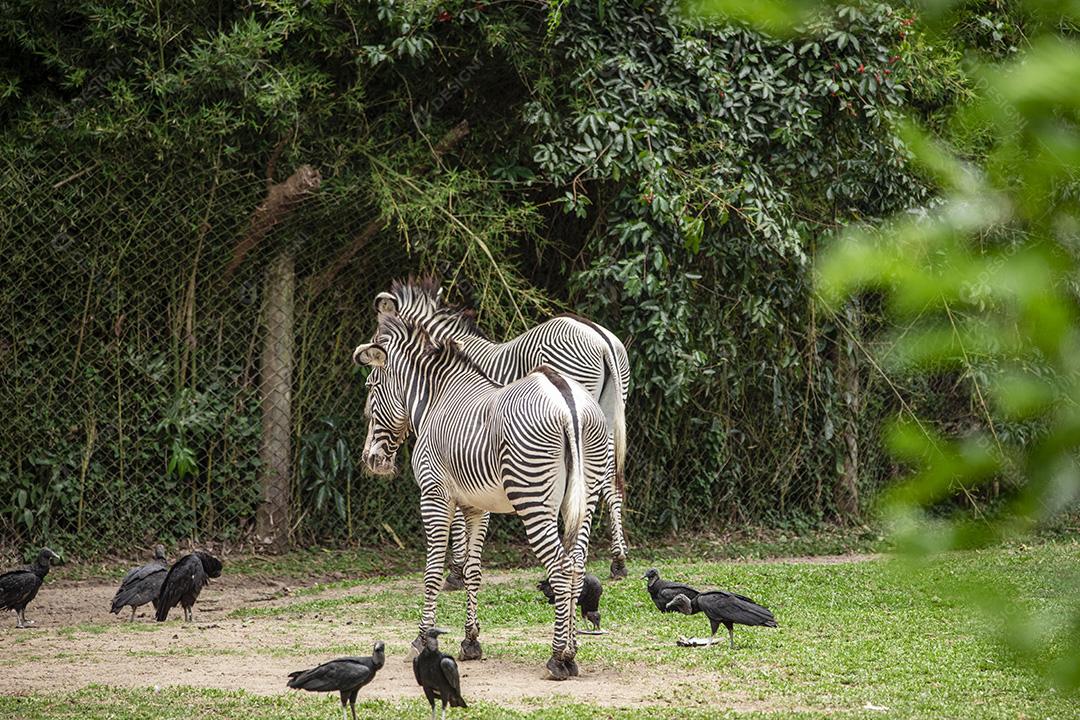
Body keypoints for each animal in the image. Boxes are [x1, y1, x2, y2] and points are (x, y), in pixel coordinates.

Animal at [353, 313, 610, 680]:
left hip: (533, 499)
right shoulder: (478, 508)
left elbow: (432, 571)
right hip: (584, 500)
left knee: (561, 569)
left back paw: (557, 658)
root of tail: (565, 397)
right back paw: (572, 653)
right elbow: (473, 571)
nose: (371, 460)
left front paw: (421, 640)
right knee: (577, 567)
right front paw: (470, 642)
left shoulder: (434, 496)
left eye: (371, 387)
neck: (437, 399)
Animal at [373, 277, 631, 581]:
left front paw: (457, 569)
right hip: (608, 412)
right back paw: (618, 561)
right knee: (609, 481)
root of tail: (600, 338)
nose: (375, 460)